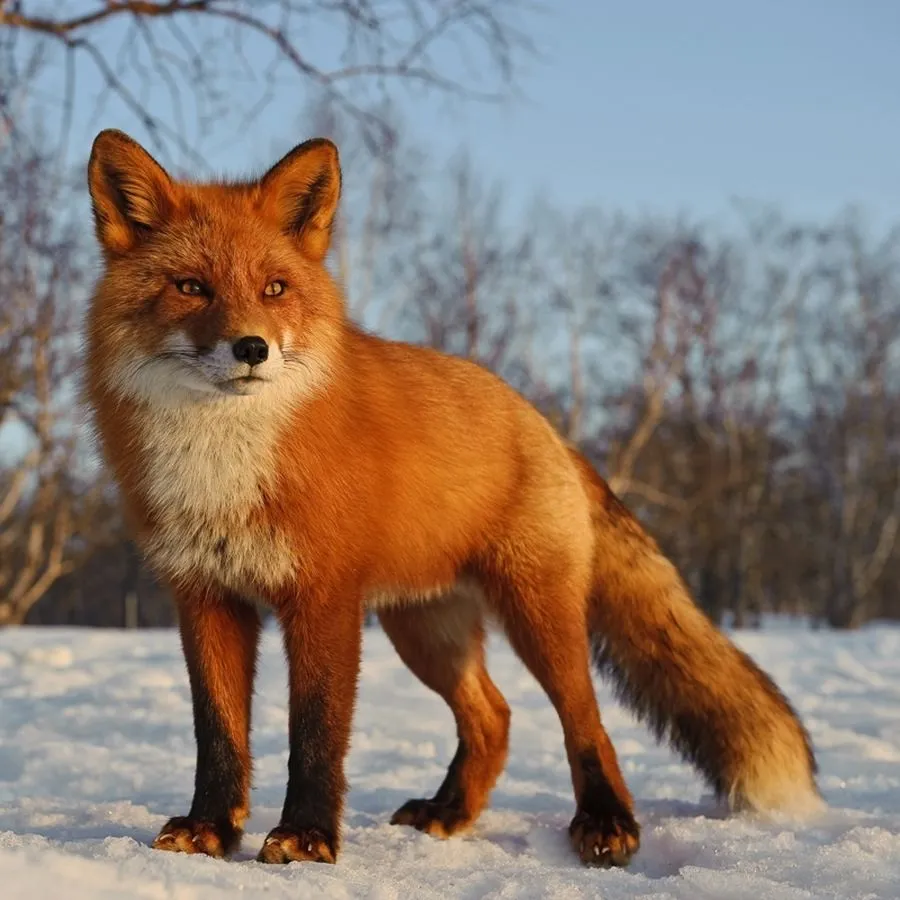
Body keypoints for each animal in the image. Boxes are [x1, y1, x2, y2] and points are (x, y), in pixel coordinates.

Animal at [83, 128, 822, 869]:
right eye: (190, 287)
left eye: (274, 288)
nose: (253, 348)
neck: (221, 467)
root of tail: (543, 424)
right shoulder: (205, 596)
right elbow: (218, 733)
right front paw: (210, 829)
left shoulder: (323, 598)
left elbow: (316, 731)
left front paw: (308, 837)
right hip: (426, 631)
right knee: (494, 717)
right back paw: (450, 812)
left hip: (536, 617)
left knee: (585, 720)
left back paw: (607, 823)